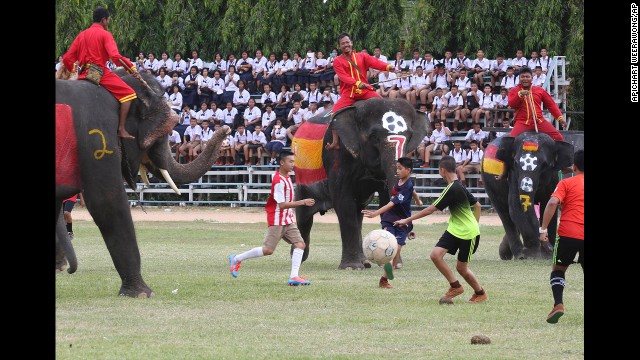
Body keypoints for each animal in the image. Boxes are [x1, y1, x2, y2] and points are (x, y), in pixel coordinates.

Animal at [292, 97, 428, 268]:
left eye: (409, 136)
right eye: (374, 137)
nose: (412, 234)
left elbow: (385, 201)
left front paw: (394, 264)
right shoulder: (337, 154)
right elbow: (343, 202)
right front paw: (351, 267)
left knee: (359, 213)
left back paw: (365, 263)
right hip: (303, 176)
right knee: (304, 217)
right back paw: (298, 255)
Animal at [480, 131, 580, 260]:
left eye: (545, 165)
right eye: (515, 163)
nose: (548, 246)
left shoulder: (553, 177)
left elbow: (548, 205)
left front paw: (548, 253)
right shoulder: (513, 175)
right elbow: (516, 205)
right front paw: (535, 255)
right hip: (489, 180)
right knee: (505, 214)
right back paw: (518, 255)